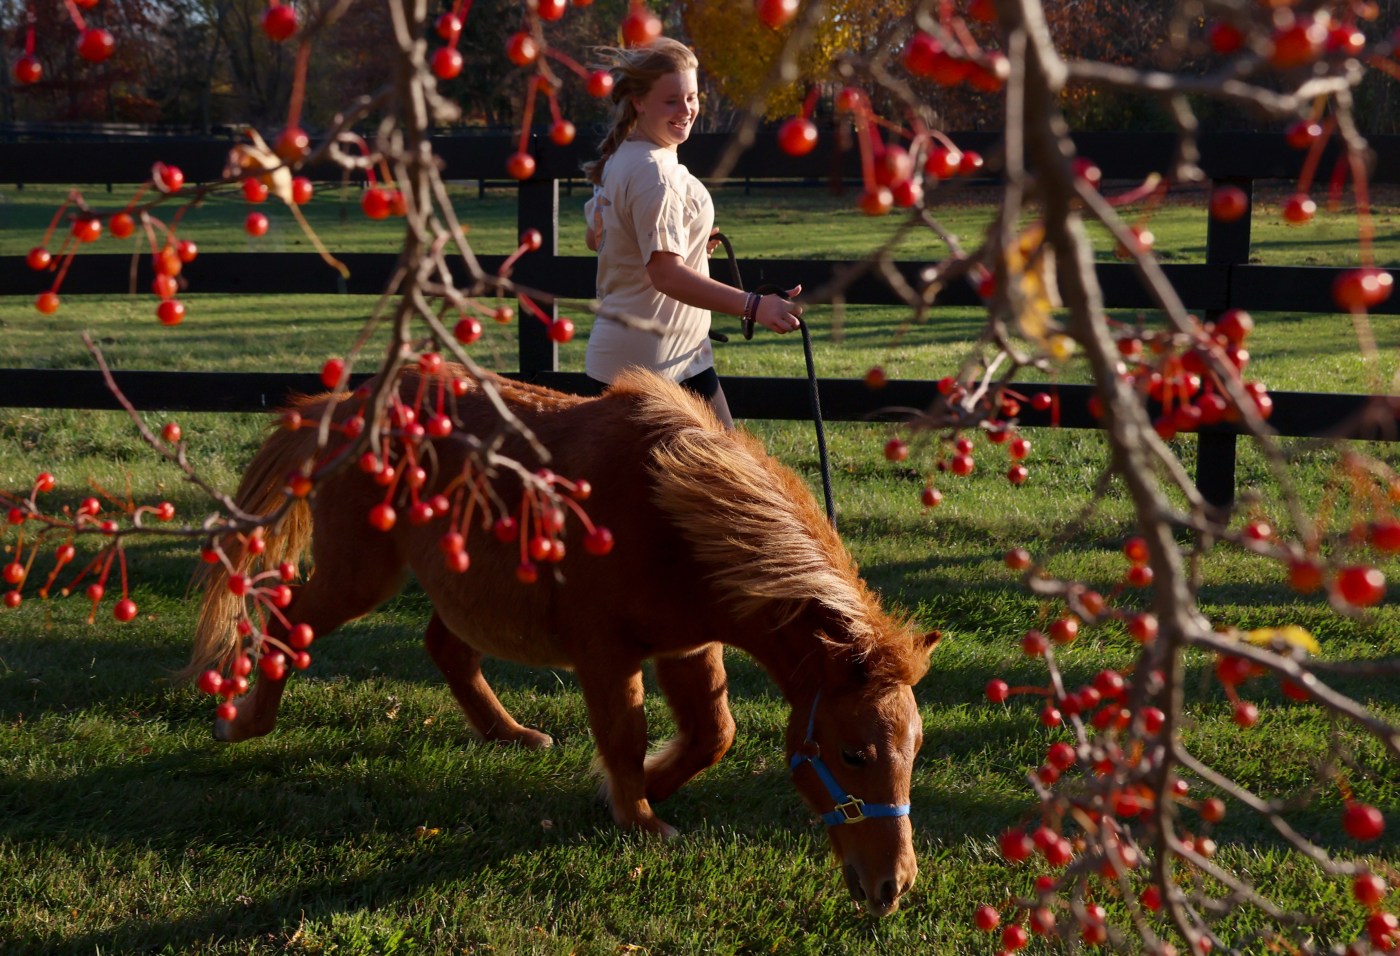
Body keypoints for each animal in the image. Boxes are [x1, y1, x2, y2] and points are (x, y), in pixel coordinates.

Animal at [189, 369, 940, 918]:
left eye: (914, 751)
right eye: (854, 753)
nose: (893, 887)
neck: (670, 508)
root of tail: (342, 405)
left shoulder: (687, 647)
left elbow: (712, 734)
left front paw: (637, 795)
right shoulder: (607, 654)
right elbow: (626, 737)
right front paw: (640, 819)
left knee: (447, 650)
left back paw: (511, 734)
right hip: (358, 576)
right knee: (287, 618)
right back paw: (243, 724)